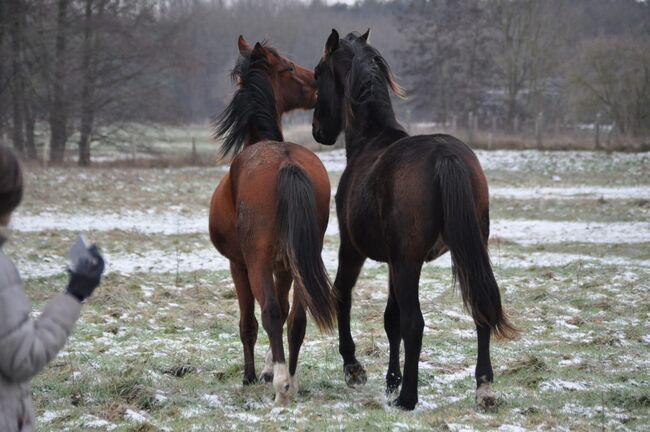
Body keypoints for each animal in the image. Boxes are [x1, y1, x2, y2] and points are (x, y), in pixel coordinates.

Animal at [209, 36, 334, 404]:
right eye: (290, 67)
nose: (319, 83)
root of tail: (287, 162)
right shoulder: (285, 266)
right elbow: (285, 307)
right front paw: (266, 369)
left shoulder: (239, 265)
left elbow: (249, 323)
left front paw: (252, 375)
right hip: (301, 261)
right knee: (296, 318)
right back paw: (290, 378)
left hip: (258, 262)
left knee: (272, 314)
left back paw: (281, 384)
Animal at [308, 29, 516, 408]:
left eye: (318, 72)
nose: (319, 130)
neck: (372, 140)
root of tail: (445, 155)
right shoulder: (393, 260)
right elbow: (390, 320)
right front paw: (391, 380)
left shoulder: (354, 249)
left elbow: (343, 295)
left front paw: (355, 368)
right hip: (464, 251)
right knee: (479, 308)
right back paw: (483, 387)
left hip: (408, 262)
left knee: (414, 323)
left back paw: (408, 398)